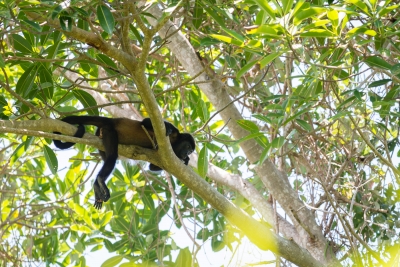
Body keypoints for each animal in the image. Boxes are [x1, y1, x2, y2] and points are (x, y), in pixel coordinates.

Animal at [53, 116, 195, 210]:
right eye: (188, 147)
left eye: (191, 151)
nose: (186, 154)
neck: (174, 143)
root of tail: (111, 120)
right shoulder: (174, 133)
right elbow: (146, 122)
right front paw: (168, 128)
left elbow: (153, 166)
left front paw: (186, 161)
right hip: (109, 131)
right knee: (112, 157)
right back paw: (100, 180)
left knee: (107, 159)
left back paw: (96, 187)